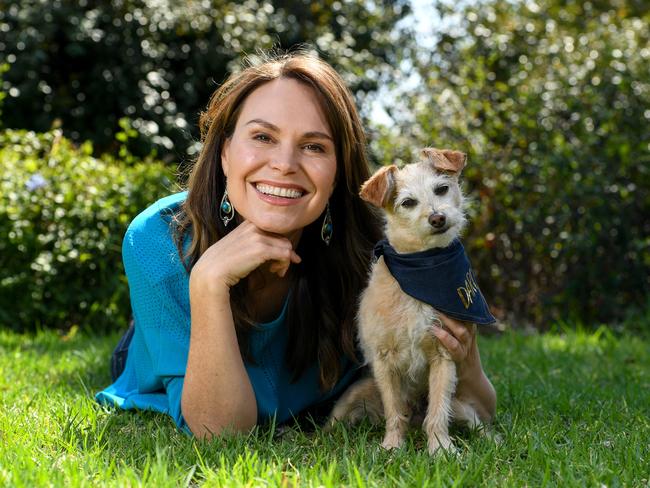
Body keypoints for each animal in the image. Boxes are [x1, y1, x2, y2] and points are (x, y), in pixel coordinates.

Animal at [326, 148, 494, 454]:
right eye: (408, 202)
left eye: (441, 189)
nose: (437, 218)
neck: (422, 265)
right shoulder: (384, 362)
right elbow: (394, 411)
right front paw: (392, 447)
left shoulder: (443, 357)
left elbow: (437, 411)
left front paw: (441, 449)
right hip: (351, 396)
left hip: (462, 406)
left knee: (476, 422)